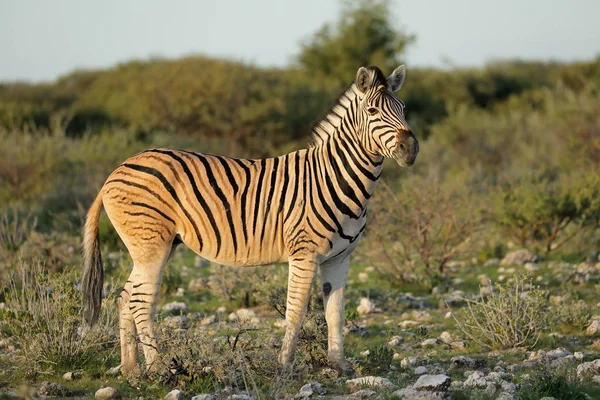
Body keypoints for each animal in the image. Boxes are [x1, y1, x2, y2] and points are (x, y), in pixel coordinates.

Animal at [82, 64, 418, 376]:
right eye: (372, 111)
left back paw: (131, 369)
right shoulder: (304, 253)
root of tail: (117, 170)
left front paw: (340, 366)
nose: (410, 148)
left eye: (403, 108)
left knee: (125, 298)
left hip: (150, 247)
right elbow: (296, 311)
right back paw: (158, 368)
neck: (334, 178)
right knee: (141, 301)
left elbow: (335, 313)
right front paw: (284, 366)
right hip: (152, 244)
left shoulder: (340, 257)